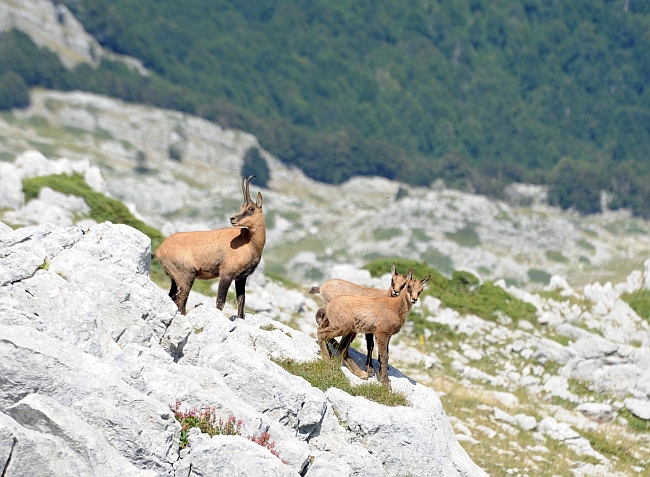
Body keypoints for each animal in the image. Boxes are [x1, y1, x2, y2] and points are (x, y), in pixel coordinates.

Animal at [152, 175, 264, 316]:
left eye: (251, 208)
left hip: (175, 279)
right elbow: (220, 302)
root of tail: (159, 250)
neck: (249, 243)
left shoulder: (241, 278)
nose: (232, 218)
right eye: (241, 207)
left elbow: (241, 301)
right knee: (181, 302)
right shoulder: (226, 274)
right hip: (186, 276)